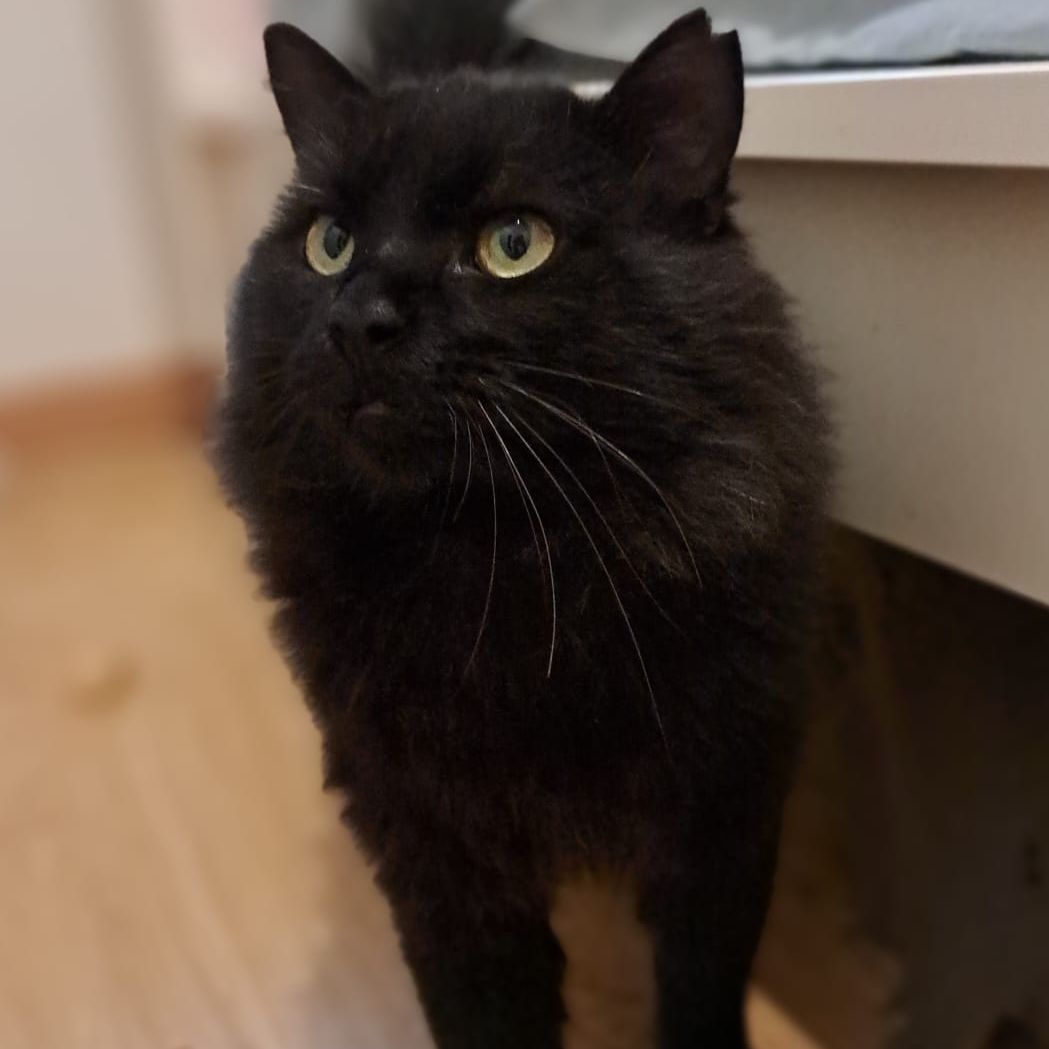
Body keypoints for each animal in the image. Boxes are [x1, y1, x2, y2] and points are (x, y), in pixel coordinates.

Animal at [214, 5, 831, 1048]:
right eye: (331, 243)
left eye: (514, 242)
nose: (359, 317)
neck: (503, 558)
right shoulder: (433, 845)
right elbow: (483, 1007)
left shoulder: (723, 802)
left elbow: (702, 983)